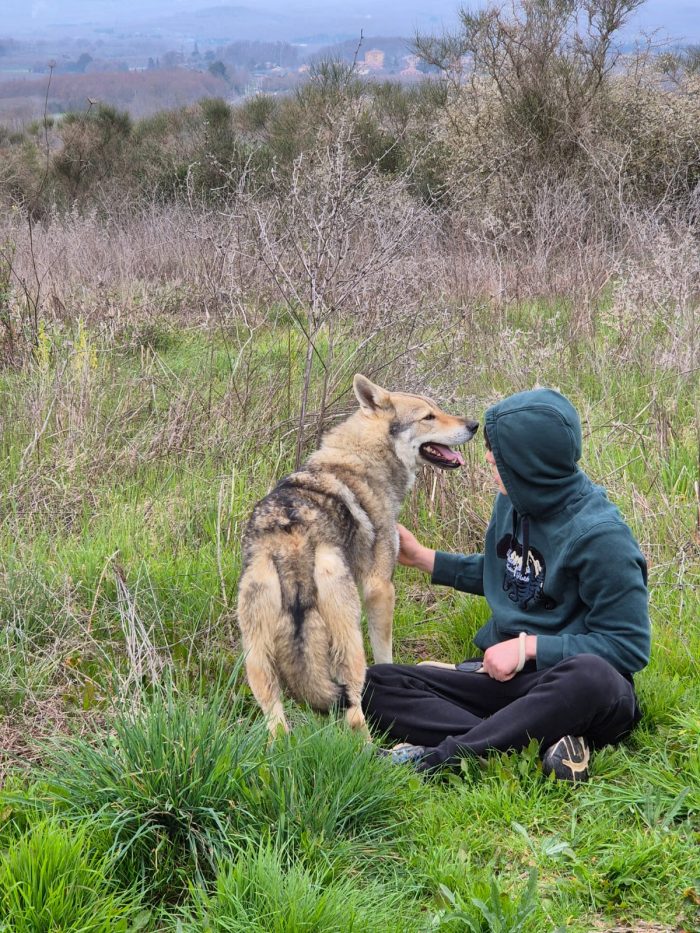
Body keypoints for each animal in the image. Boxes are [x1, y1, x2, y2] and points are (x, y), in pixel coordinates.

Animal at [236, 374, 478, 735]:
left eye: (437, 409)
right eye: (428, 417)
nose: (475, 424)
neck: (365, 457)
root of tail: (290, 544)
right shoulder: (380, 588)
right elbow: (386, 655)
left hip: (257, 660)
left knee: (277, 725)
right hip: (349, 639)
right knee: (353, 709)